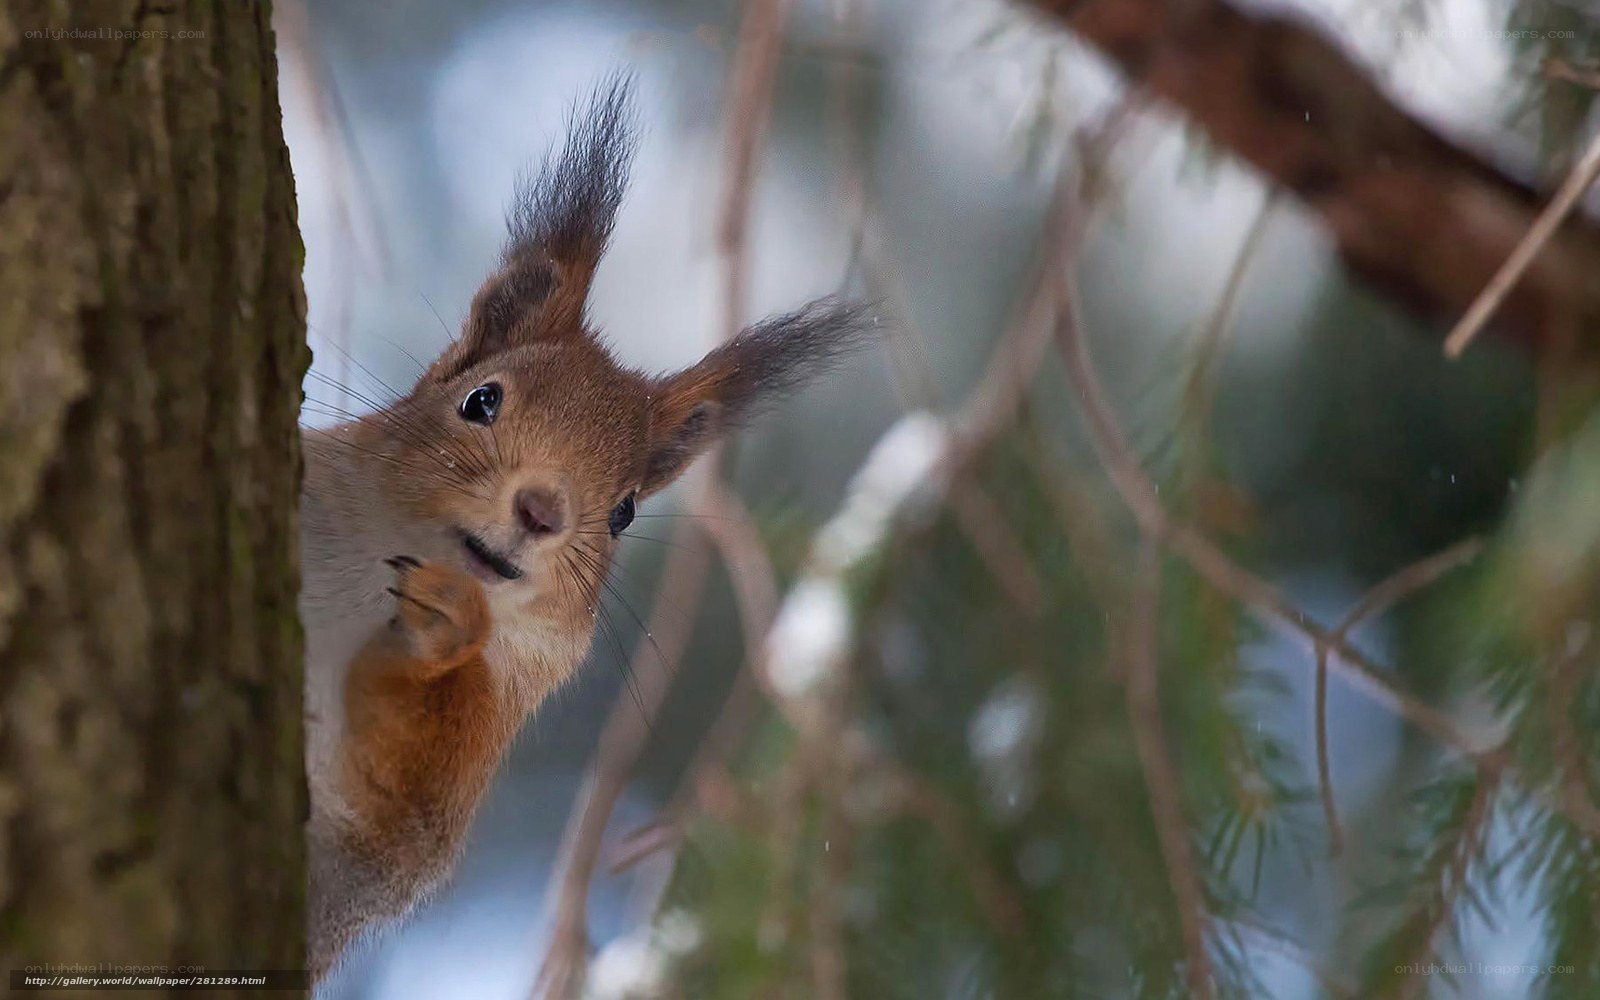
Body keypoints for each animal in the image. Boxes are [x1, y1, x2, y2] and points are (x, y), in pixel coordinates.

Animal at [298, 75, 870, 980]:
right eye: (481, 400)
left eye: (624, 511)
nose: (541, 511)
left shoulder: (441, 786)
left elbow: (398, 803)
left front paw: (441, 629)